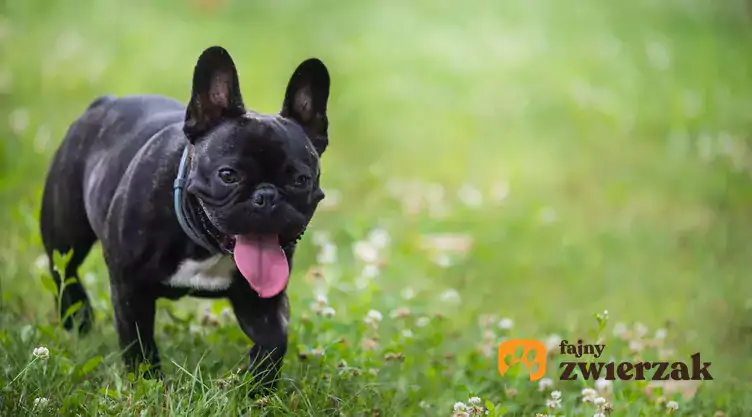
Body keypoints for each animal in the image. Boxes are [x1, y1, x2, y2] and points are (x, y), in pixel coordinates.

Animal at [39, 45, 330, 386]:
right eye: (228, 175)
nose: (267, 196)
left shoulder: (261, 299)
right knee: (64, 271)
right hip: (65, 234)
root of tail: (104, 102)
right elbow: (138, 342)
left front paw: (258, 387)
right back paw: (78, 318)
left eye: (301, 180)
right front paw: (149, 384)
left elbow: (274, 341)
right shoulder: (129, 288)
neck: (204, 245)